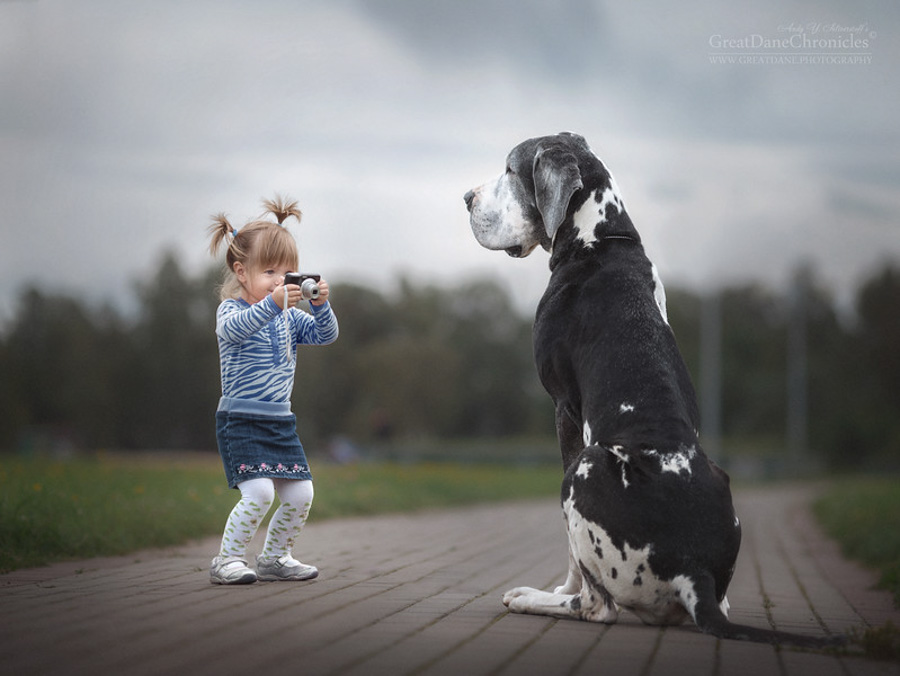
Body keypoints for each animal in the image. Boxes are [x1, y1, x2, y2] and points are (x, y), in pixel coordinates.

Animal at [464, 133, 844, 648]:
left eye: (509, 169)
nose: (466, 198)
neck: (600, 240)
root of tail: (693, 572)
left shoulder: (564, 409)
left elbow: (571, 553)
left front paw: (560, 587)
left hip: (585, 467)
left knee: (598, 606)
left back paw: (533, 597)